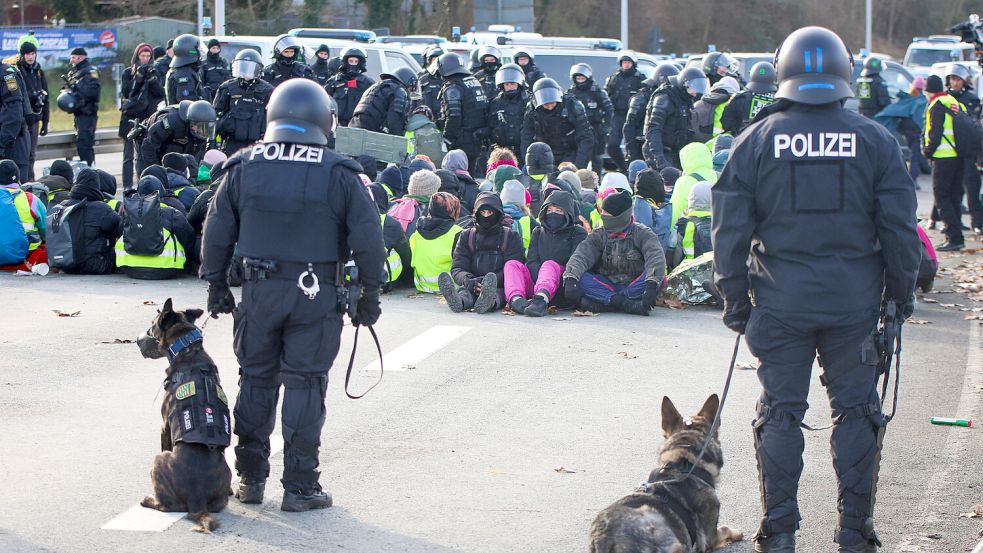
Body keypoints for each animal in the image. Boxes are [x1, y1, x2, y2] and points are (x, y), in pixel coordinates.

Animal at [137, 300, 234, 532]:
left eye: (152, 325)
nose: (136, 340)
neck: (188, 349)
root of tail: (196, 499)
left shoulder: (164, 425)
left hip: (159, 460)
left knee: (167, 506)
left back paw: (148, 500)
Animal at [588, 394, 740, 552]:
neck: (684, 462)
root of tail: (605, 539)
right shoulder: (711, 536)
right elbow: (725, 529)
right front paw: (737, 533)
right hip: (673, 542)